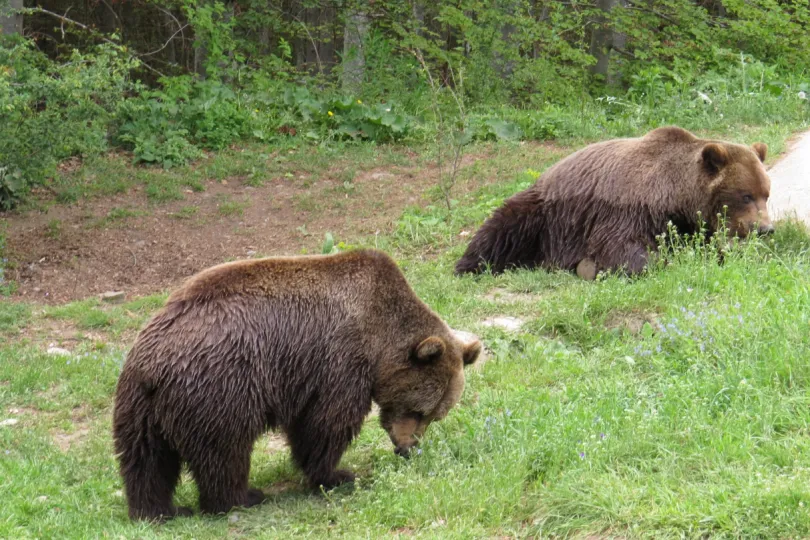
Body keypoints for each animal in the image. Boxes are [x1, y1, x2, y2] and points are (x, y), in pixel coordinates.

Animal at [113, 250, 480, 524]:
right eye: (419, 410)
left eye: (435, 416)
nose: (408, 448)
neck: (381, 337)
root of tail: (154, 363)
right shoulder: (339, 361)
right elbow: (326, 423)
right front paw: (337, 475)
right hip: (220, 387)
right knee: (224, 451)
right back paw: (242, 497)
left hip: (139, 406)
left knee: (146, 460)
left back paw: (159, 511)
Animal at [454, 126, 772, 278]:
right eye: (746, 195)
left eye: (766, 193)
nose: (766, 228)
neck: (674, 196)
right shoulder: (626, 211)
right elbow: (622, 250)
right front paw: (658, 262)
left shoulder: (686, 223)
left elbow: (705, 245)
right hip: (542, 213)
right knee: (501, 229)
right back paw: (470, 265)